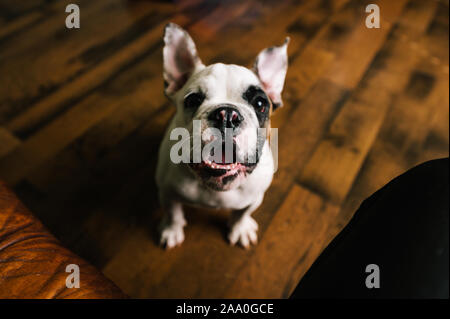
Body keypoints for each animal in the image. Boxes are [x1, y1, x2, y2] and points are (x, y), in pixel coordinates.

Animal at [156, 23, 288, 251]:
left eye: (260, 103)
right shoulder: (166, 191)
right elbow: (173, 213)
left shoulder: (256, 197)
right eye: (192, 100)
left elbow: (243, 213)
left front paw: (240, 229)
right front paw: (172, 230)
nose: (227, 114)